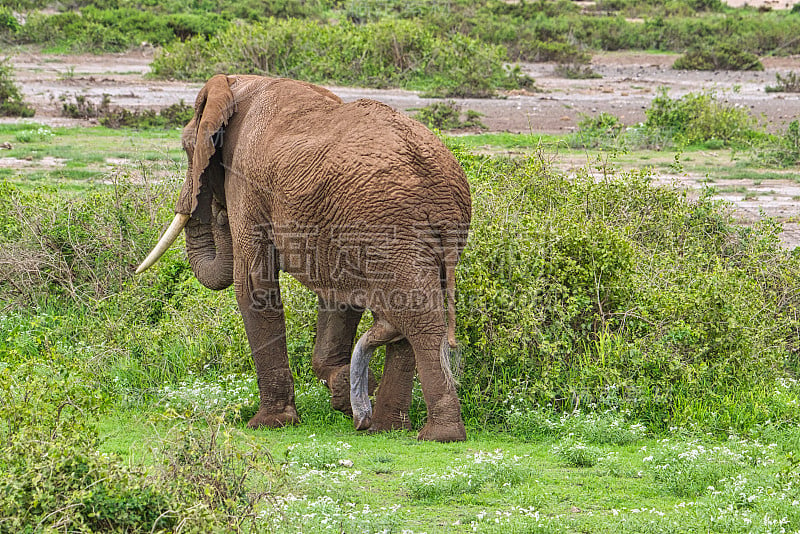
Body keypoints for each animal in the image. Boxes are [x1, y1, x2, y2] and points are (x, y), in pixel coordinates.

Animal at [137, 75, 472, 444]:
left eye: (186, 148)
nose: (217, 211)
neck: (237, 84)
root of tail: (441, 189)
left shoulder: (246, 182)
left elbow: (253, 285)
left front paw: (270, 423)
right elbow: (338, 297)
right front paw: (343, 390)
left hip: (392, 226)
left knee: (416, 316)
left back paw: (438, 435)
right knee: (407, 313)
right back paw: (386, 427)